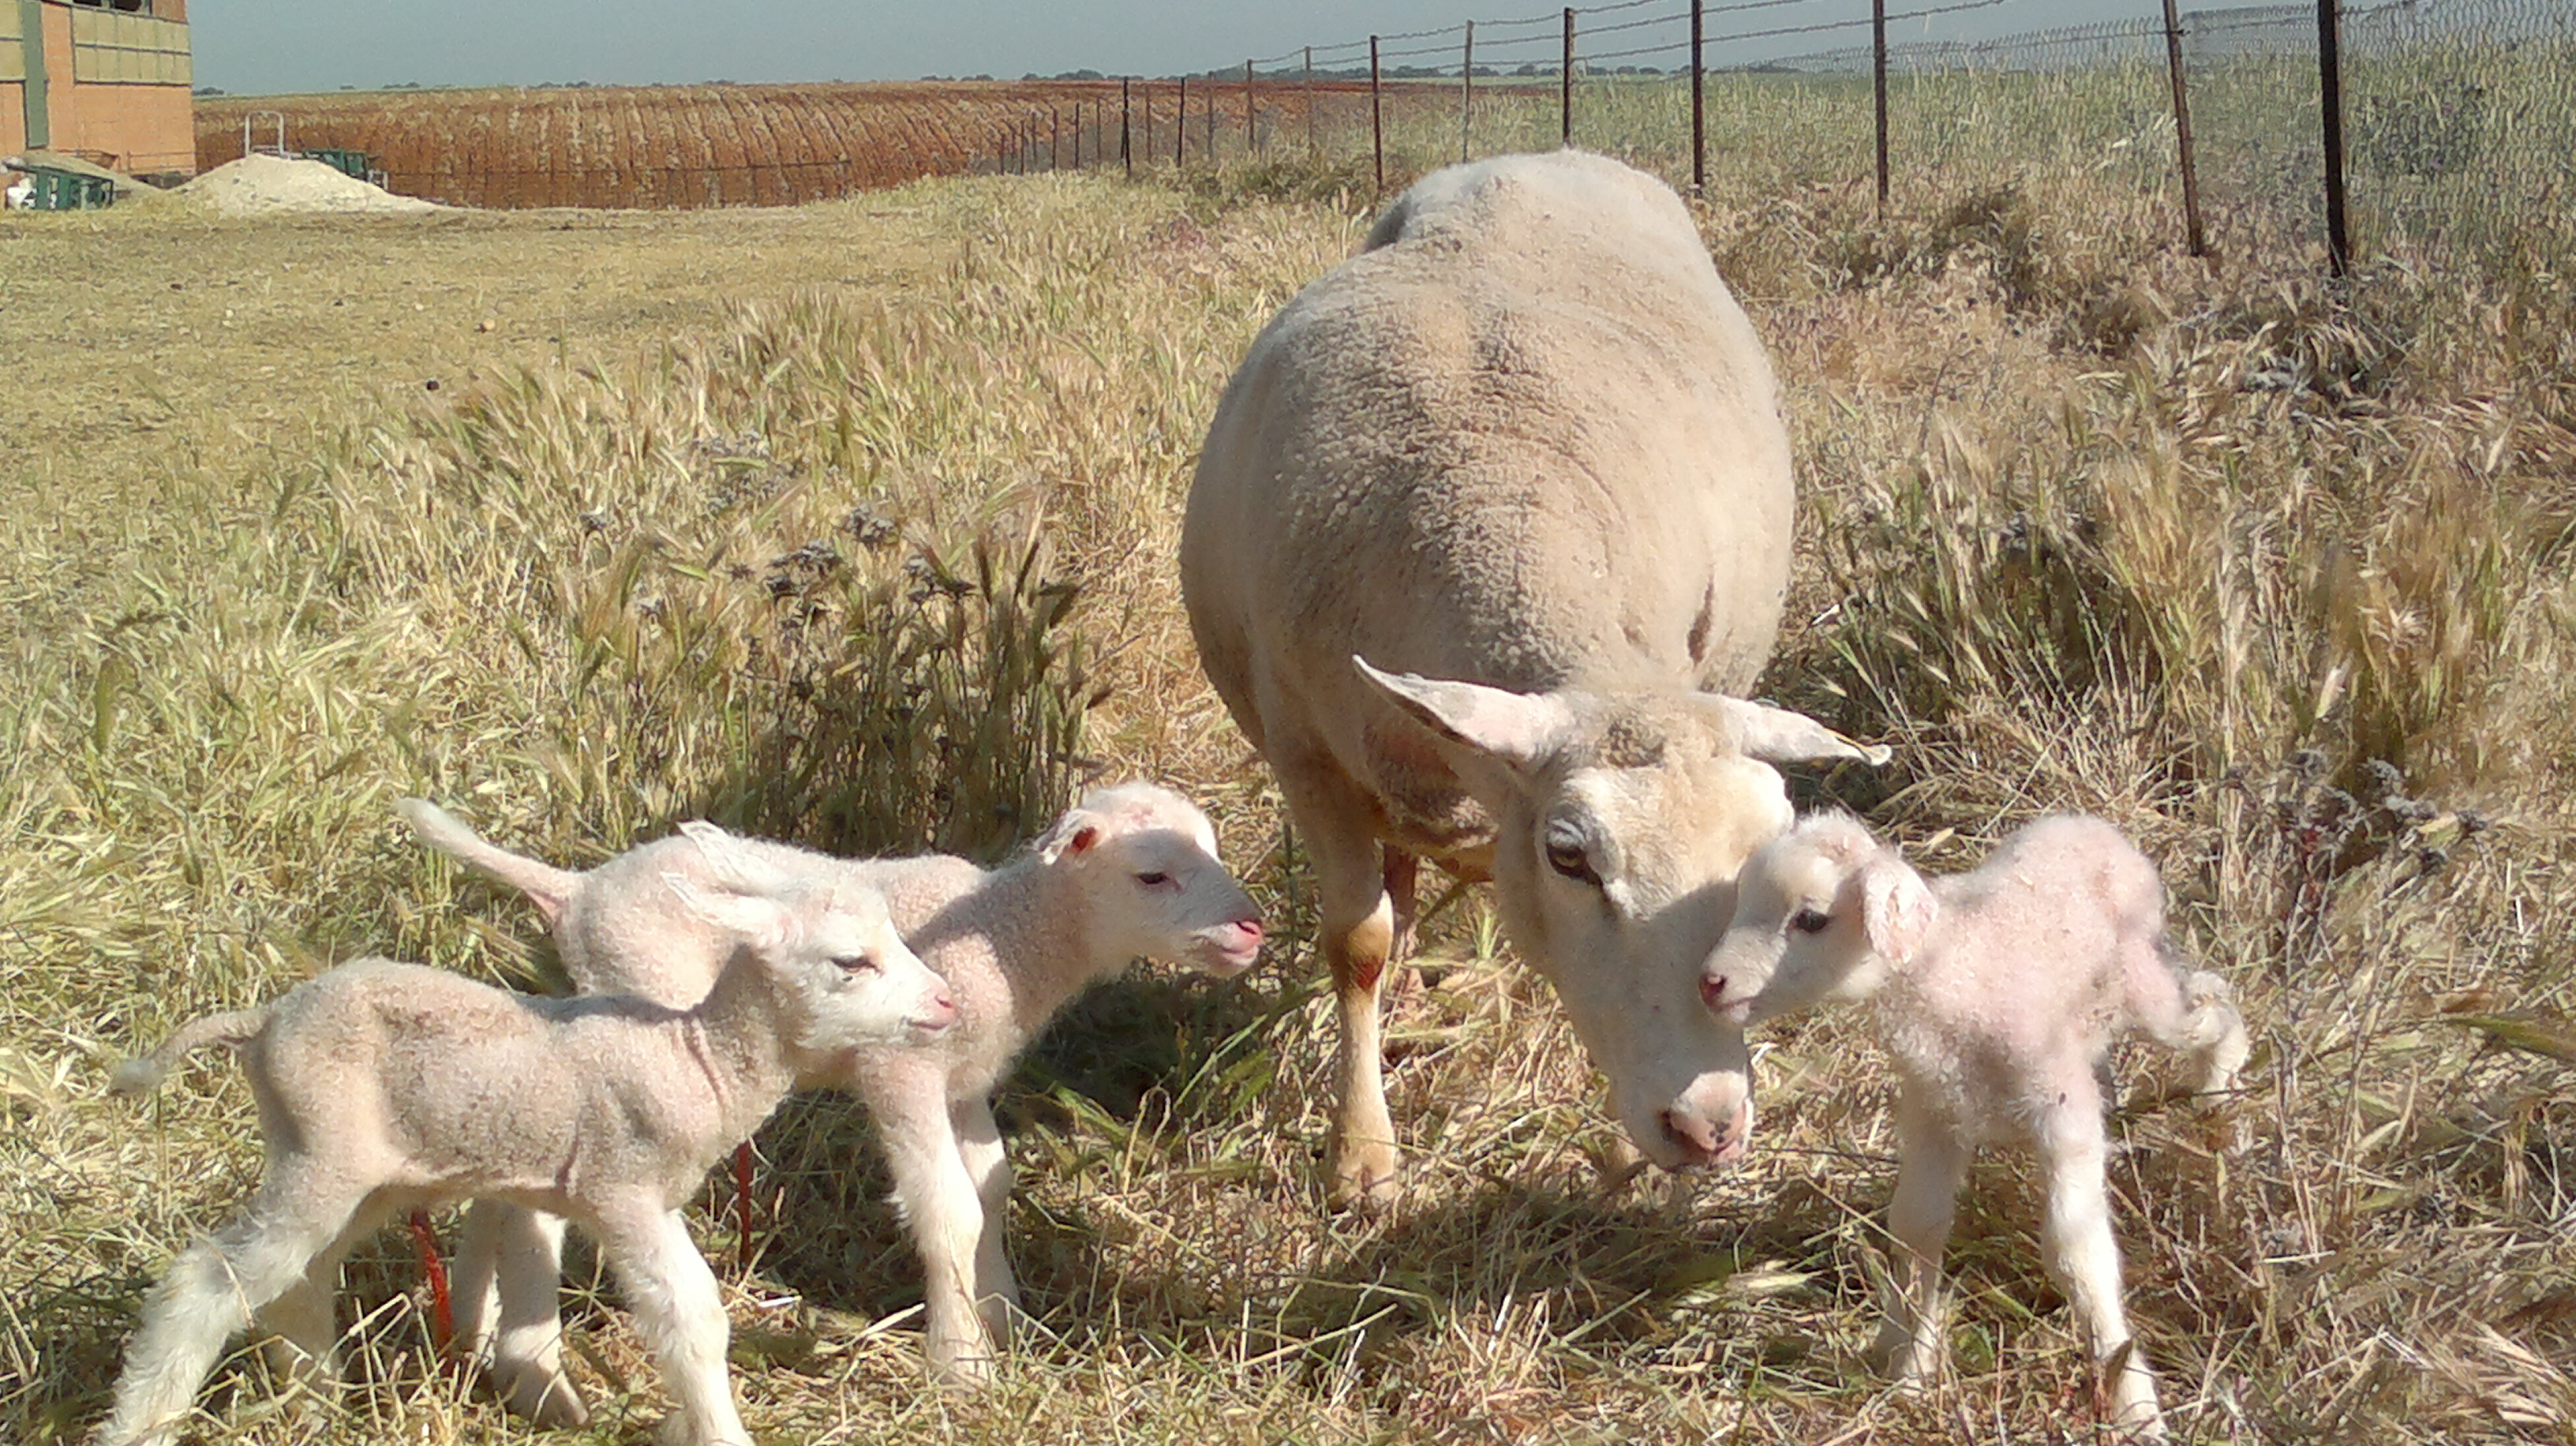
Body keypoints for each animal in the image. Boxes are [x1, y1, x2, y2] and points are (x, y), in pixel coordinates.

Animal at [399, 783, 1267, 1402]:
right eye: (1153, 874)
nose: (1251, 929)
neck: (1007, 936)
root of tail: (575, 889)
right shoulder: (903, 1071)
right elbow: (948, 1209)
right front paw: (962, 1364)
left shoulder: (963, 1081)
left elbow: (990, 1188)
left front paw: (1004, 1316)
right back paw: (529, 1364)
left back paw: (473, 1333)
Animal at [1179, 152, 1875, 1201]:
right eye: (1571, 856)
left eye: (1765, 858)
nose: (1710, 1126)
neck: (1494, 495)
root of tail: (1541, 159)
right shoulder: (1309, 761)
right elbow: (1358, 944)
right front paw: (1362, 1152)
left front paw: (1621, 1157)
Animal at [1700, 814, 2246, 1433]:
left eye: (1811, 919)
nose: (1710, 982)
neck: (1949, 967)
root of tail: (2095, 826)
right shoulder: (1936, 1109)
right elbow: (1917, 1227)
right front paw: (1910, 1370)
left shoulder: (2062, 1105)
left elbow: (2076, 1250)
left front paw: (2133, 1401)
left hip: (2145, 990)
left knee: (2213, 1005)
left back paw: (2223, 1101)